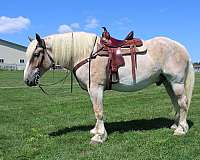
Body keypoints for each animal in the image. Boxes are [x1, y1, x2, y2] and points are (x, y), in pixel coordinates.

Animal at [24, 31, 195, 144]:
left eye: (36, 54)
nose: (27, 80)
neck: (87, 54)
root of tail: (181, 47)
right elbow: (96, 112)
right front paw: (96, 130)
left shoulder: (96, 88)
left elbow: (98, 111)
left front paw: (99, 136)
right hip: (168, 82)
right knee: (176, 103)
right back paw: (175, 125)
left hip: (176, 82)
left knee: (182, 103)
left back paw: (181, 129)